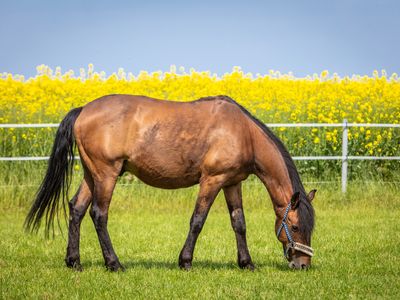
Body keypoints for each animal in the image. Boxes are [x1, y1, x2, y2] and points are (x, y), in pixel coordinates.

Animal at [25, 95, 318, 272]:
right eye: (294, 226)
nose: (303, 264)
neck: (242, 132)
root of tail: (83, 110)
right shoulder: (212, 180)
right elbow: (197, 221)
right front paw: (185, 261)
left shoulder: (232, 183)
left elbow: (239, 223)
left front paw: (246, 263)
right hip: (106, 174)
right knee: (99, 214)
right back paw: (114, 263)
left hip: (91, 174)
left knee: (76, 209)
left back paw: (74, 261)